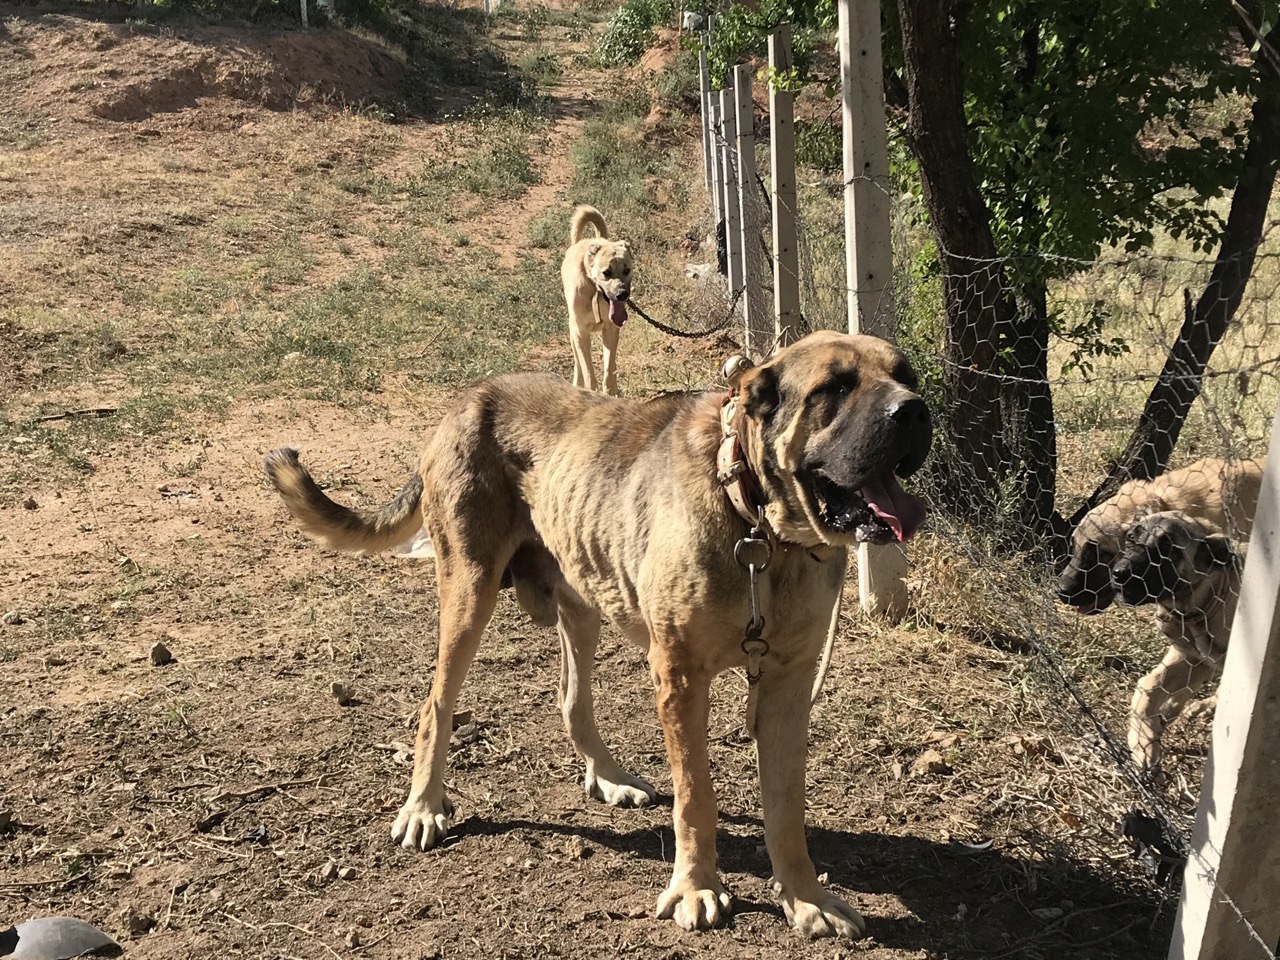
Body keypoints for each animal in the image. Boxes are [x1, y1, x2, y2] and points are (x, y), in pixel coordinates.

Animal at [267, 330, 931, 942]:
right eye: (834, 387)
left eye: (907, 375)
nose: (915, 411)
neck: (759, 527)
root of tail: (468, 399)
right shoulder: (680, 676)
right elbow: (696, 796)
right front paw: (696, 887)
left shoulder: (789, 682)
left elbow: (787, 806)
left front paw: (805, 897)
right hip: (470, 591)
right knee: (436, 706)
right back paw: (424, 807)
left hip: (583, 596)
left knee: (571, 700)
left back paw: (607, 775)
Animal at [565, 204, 634, 396]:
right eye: (606, 272)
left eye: (627, 270)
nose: (622, 294)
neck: (593, 289)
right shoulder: (580, 332)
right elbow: (587, 369)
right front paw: (591, 391)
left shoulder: (611, 329)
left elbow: (609, 366)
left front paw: (610, 392)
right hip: (573, 331)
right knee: (578, 364)